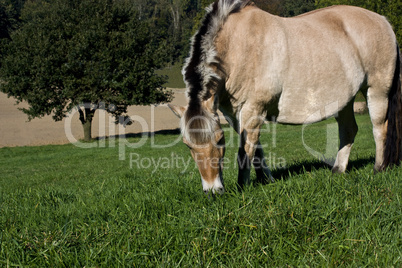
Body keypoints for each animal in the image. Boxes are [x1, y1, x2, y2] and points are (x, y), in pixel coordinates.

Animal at [168, 0, 400, 194]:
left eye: (219, 140)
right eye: (188, 145)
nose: (213, 191)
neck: (239, 46)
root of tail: (383, 21)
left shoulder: (254, 108)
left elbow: (245, 151)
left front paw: (243, 186)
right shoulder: (236, 115)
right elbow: (256, 149)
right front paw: (266, 180)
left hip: (377, 90)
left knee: (380, 128)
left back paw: (378, 168)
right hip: (345, 100)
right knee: (349, 130)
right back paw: (337, 170)